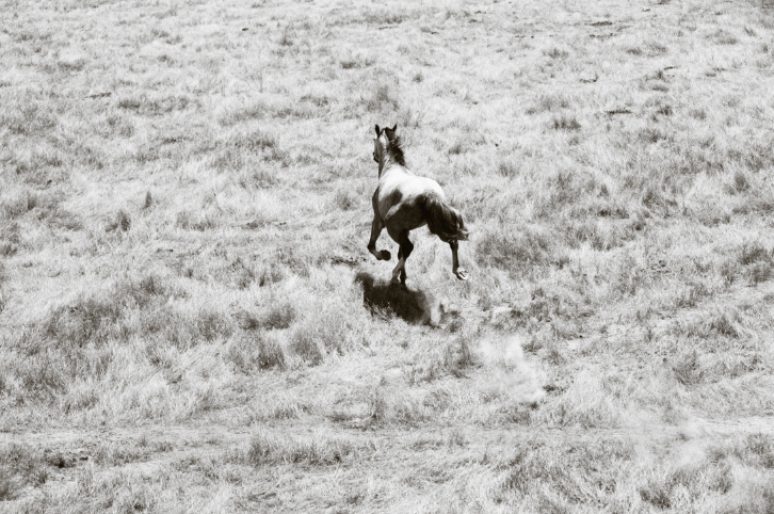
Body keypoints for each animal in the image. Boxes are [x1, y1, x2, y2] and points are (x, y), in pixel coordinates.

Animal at [368, 122, 470, 286]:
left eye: (373, 140)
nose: (374, 156)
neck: (391, 168)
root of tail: (431, 195)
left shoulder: (378, 219)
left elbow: (371, 246)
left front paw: (384, 256)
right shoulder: (405, 230)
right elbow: (400, 253)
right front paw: (403, 277)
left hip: (392, 227)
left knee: (409, 247)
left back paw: (393, 274)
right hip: (438, 225)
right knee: (453, 242)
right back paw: (459, 271)